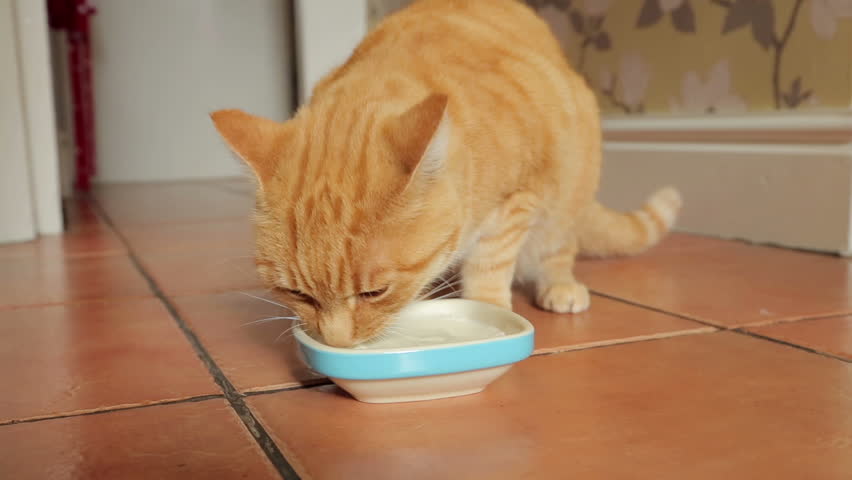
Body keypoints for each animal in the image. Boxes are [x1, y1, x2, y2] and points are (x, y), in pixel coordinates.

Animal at [210, 0, 684, 346]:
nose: (338, 342)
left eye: (374, 293)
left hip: (567, 190)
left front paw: (491, 312)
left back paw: (560, 285)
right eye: (297, 294)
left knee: (559, 249)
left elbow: (490, 267)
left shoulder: (518, 199)